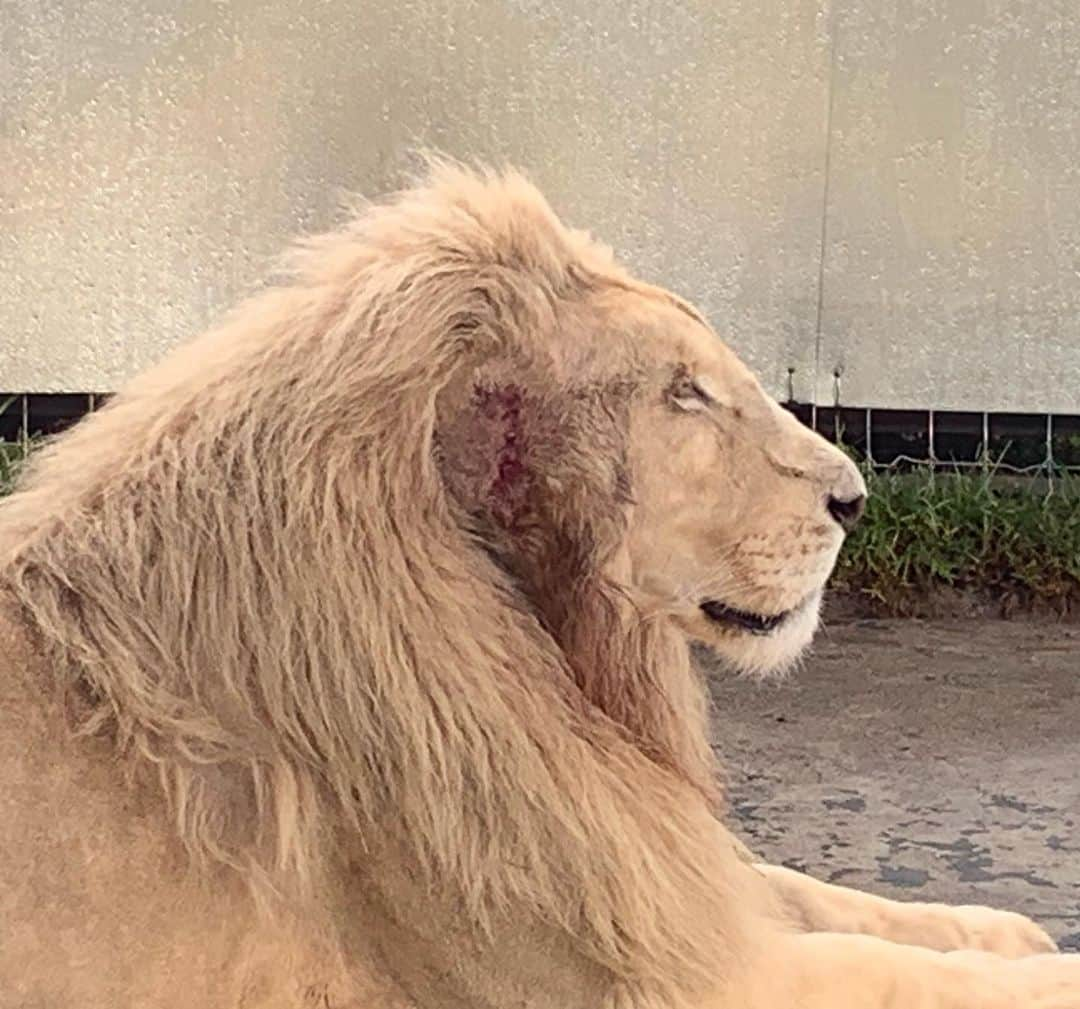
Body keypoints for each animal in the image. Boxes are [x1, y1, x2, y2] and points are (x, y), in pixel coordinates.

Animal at [0, 162, 1075, 1006]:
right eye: (685, 393)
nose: (856, 497)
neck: (542, 638)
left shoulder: (645, 875)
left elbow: (822, 897)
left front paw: (1003, 926)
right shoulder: (653, 970)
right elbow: (900, 974)